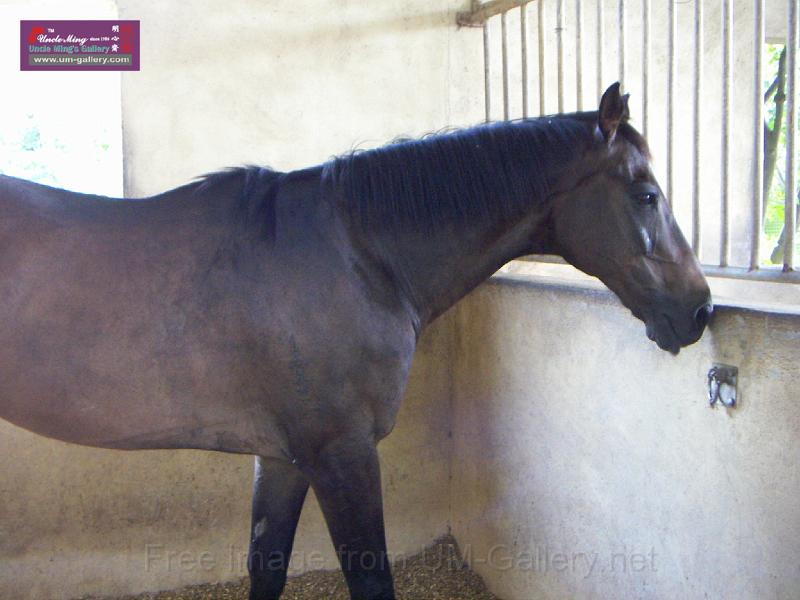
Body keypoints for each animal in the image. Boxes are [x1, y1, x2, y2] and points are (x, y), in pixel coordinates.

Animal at [0, 83, 711, 600]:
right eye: (647, 194)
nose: (699, 309)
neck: (360, 256)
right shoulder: (342, 452)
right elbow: (371, 579)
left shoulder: (284, 458)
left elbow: (268, 566)